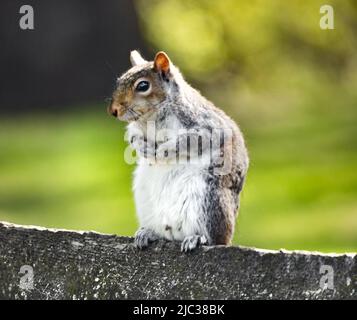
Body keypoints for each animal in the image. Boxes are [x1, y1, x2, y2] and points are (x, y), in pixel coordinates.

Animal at [108, 50, 248, 251]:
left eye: (143, 85)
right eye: (119, 81)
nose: (113, 110)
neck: (151, 116)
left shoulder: (207, 126)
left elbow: (187, 142)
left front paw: (162, 151)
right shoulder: (135, 129)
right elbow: (134, 137)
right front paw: (143, 148)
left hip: (209, 200)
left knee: (212, 238)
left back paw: (196, 238)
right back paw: (148, 233)